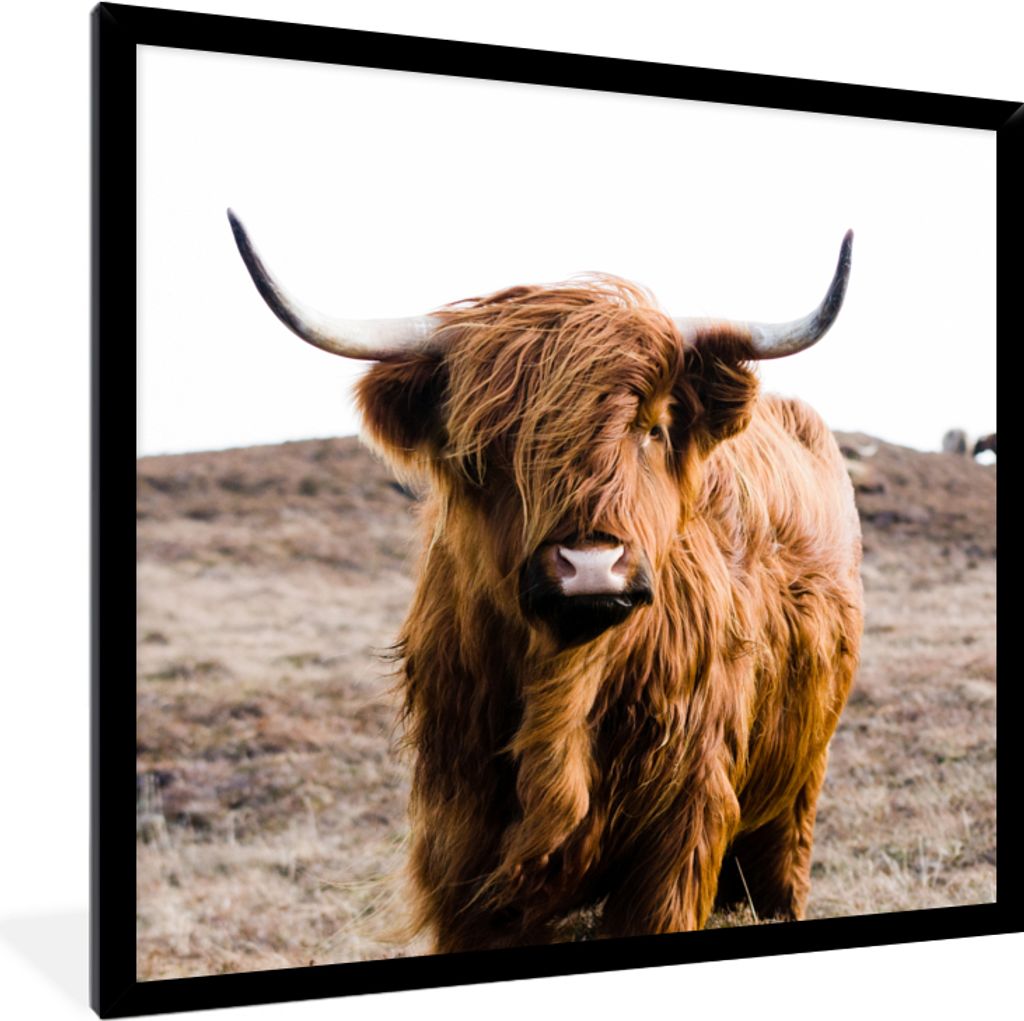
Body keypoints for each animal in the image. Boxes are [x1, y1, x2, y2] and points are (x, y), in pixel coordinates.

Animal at [228, 211, 863, 952]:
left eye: (654, 427)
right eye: (488, 444)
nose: (590, 565)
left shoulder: (682, 825)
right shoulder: (463, 837)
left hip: (798, 784)